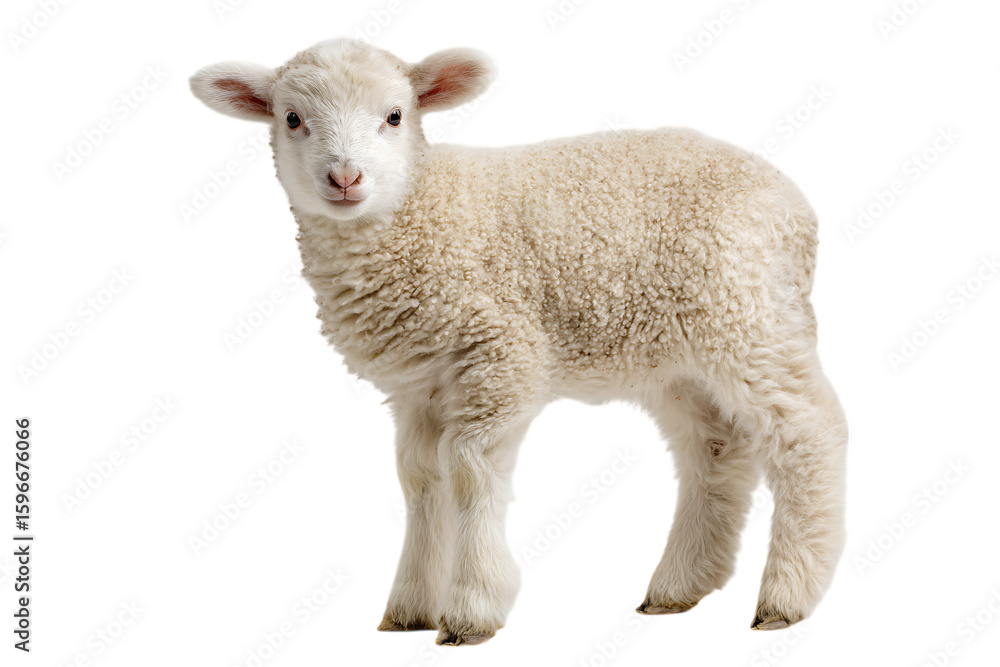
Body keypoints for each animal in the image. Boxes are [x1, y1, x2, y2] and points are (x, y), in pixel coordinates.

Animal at [190, 38, 848, 646]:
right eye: (291, 118)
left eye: (396, 115)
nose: (345, 178)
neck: (419, 210)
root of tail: (797, 205)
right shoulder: (420, 386)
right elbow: (420, 478)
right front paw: (410, 606)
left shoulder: (500, 355)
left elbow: (468, 469)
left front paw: (471, 609)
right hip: (678, 356)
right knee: (715, 450)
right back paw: (678, 586)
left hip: (749, 315)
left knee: (809, 431)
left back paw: (788, 595)